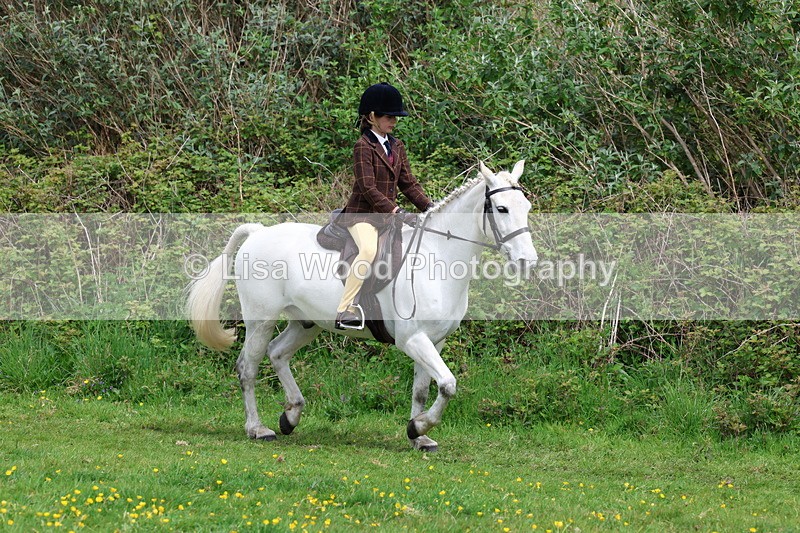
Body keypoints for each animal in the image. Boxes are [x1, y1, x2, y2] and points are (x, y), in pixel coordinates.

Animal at [185, 161, 538, 451]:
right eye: (502, 208)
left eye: (527, 207)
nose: (528, 262)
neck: (438, 255)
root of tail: (258, 233)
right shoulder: (413, 339)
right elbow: (448, 385)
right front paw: (418, 427)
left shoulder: (434, 340)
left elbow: (424, 390)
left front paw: (419, 436)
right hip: (261, 319)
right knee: (248, 366)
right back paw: (258, 429)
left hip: (305, 323)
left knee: (278, 353)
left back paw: (291, 415)